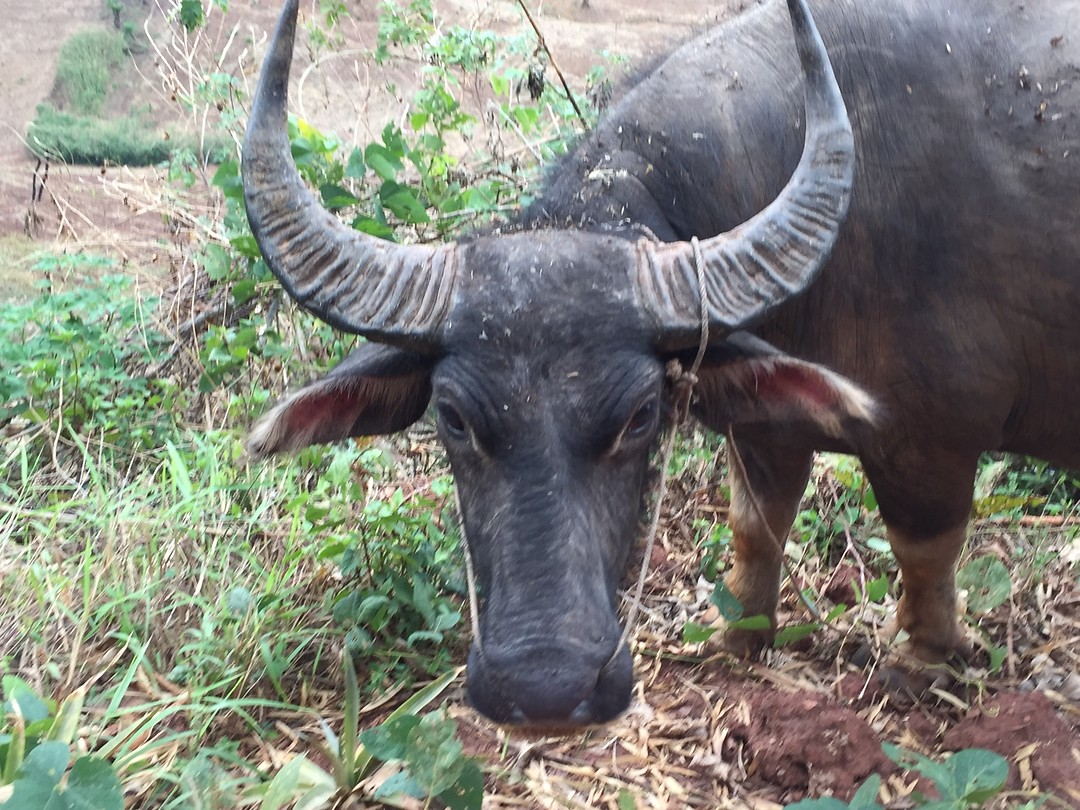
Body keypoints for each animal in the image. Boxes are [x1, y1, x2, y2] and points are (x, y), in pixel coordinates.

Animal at [242, 0, 1080, 726]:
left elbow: (923, 547)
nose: (545, 689)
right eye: (451, 418)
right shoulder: (764, 428)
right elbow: (755, 526)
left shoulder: (929, 442)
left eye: (639, 416)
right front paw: (738, 638)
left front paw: (923, 661)